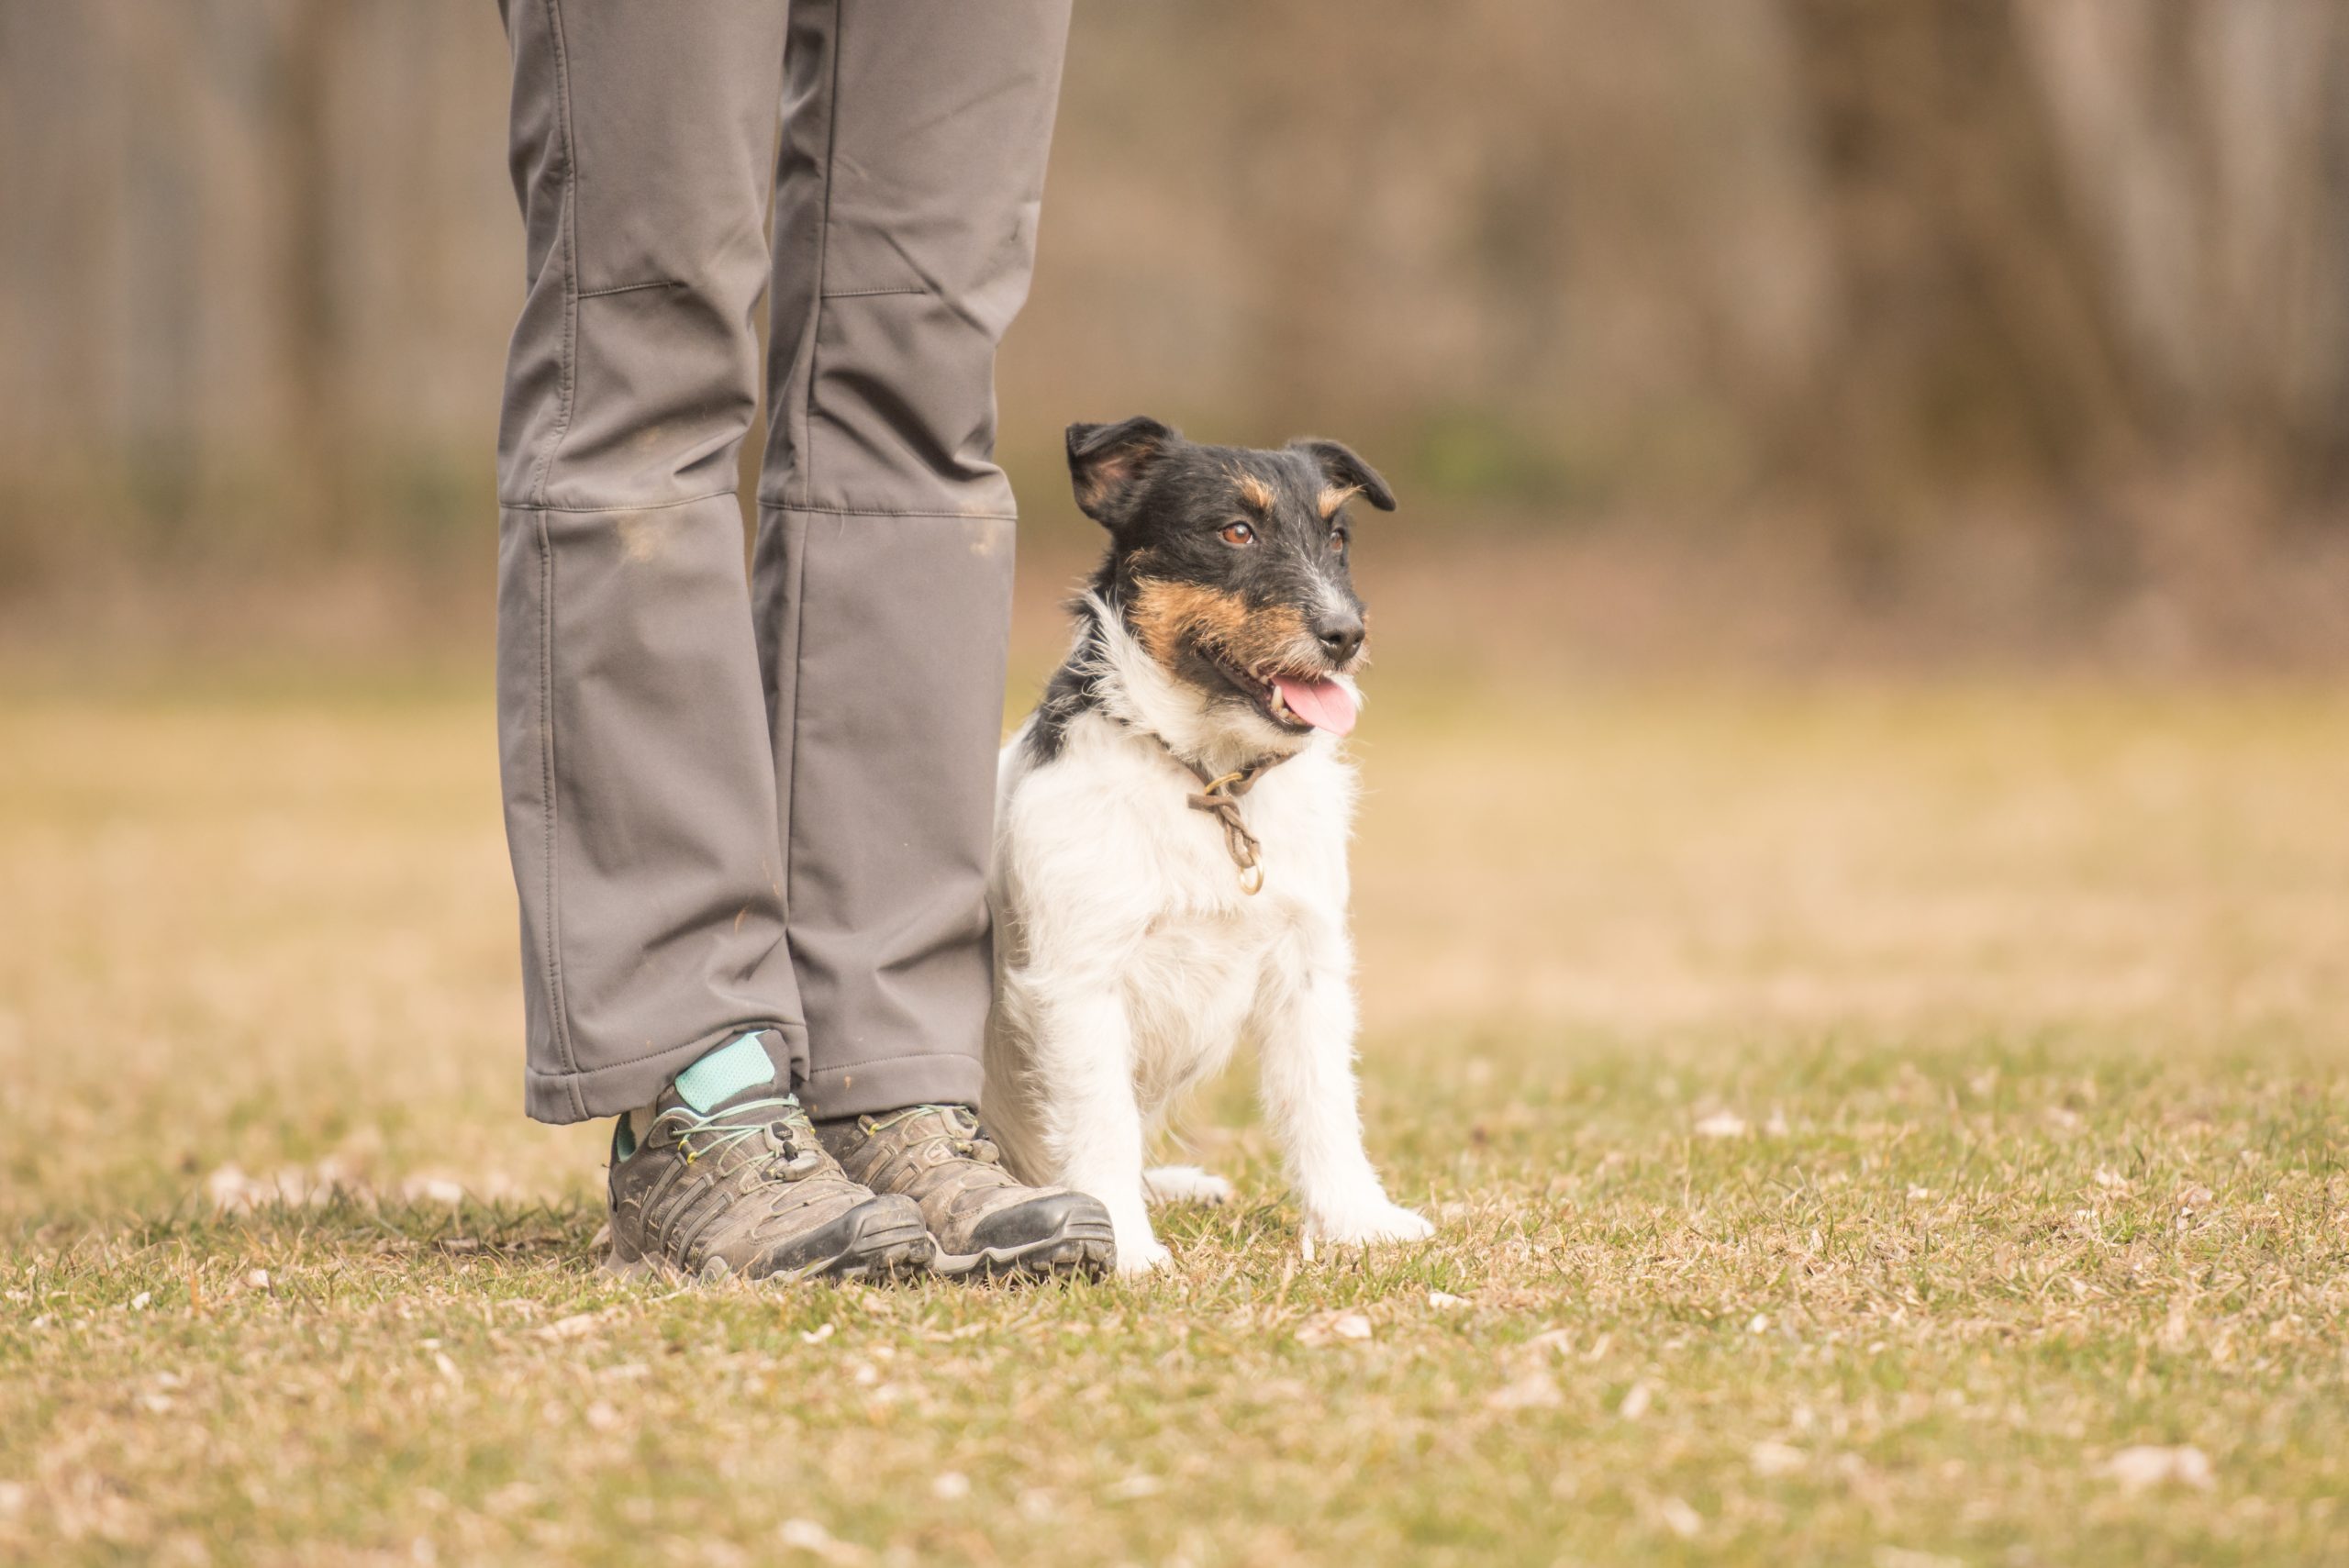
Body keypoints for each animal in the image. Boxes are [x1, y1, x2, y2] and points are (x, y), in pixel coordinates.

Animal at [976, 415, 1428, 1276]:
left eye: (1338, 536)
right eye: (1235, 531)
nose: (1347, 635)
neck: (1210, 778)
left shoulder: (1307, 970)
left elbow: (1325, 1104)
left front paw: (1358, 1220)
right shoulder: (1080, 981)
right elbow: (1102, 1122)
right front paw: (1123, 1245)